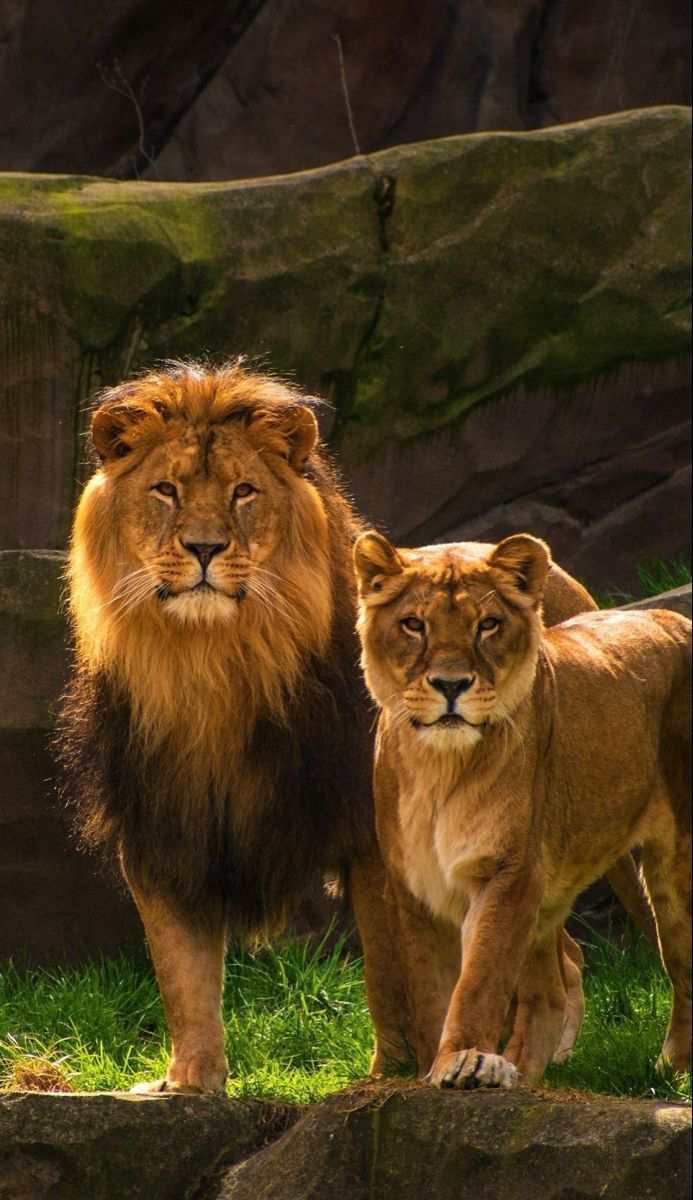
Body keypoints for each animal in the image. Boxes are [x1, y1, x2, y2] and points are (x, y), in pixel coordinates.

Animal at [354, 530, 691, 1088]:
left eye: (487, 625)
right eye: (414, 625)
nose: (451, 685)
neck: (439, 768)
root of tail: (671, 618)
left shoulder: (508, 873)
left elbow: (479, 981)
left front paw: (464, 1061)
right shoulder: (416, 889)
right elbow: (430, 995)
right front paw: (435, 1070)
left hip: (673, 867)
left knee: (680, 964)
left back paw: (673, 1068)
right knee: (549, 990)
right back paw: (526, 1072)